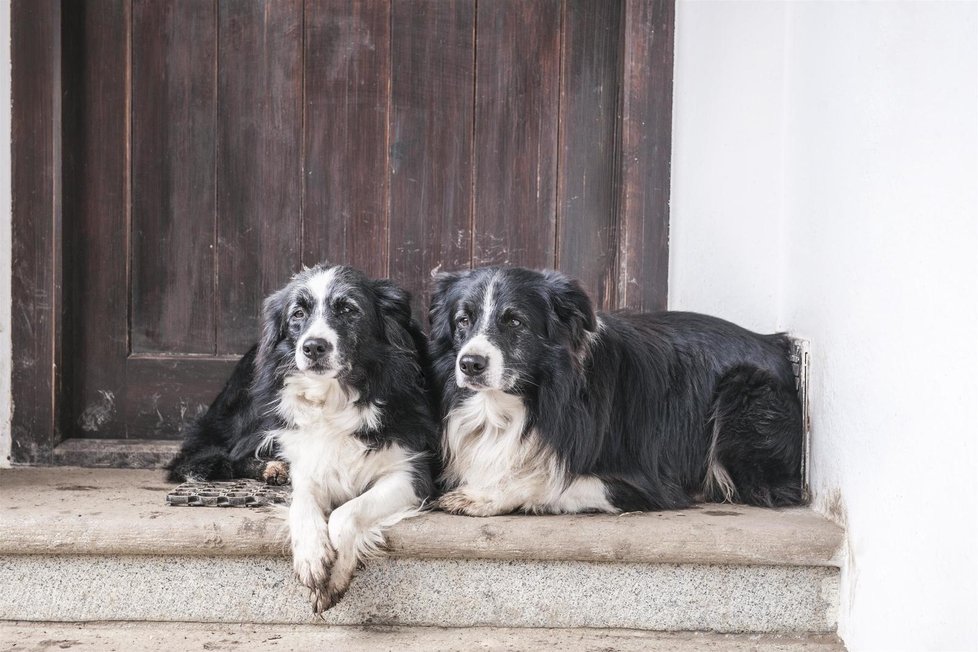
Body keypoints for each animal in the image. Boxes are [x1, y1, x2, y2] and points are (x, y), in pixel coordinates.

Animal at [430, 268, 804, 516]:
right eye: (463, 319)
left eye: (515, 321)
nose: (470, 364)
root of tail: (775, 344)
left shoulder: (647, 481)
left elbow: (551, 480)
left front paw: (481, 496)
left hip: (743, 390)